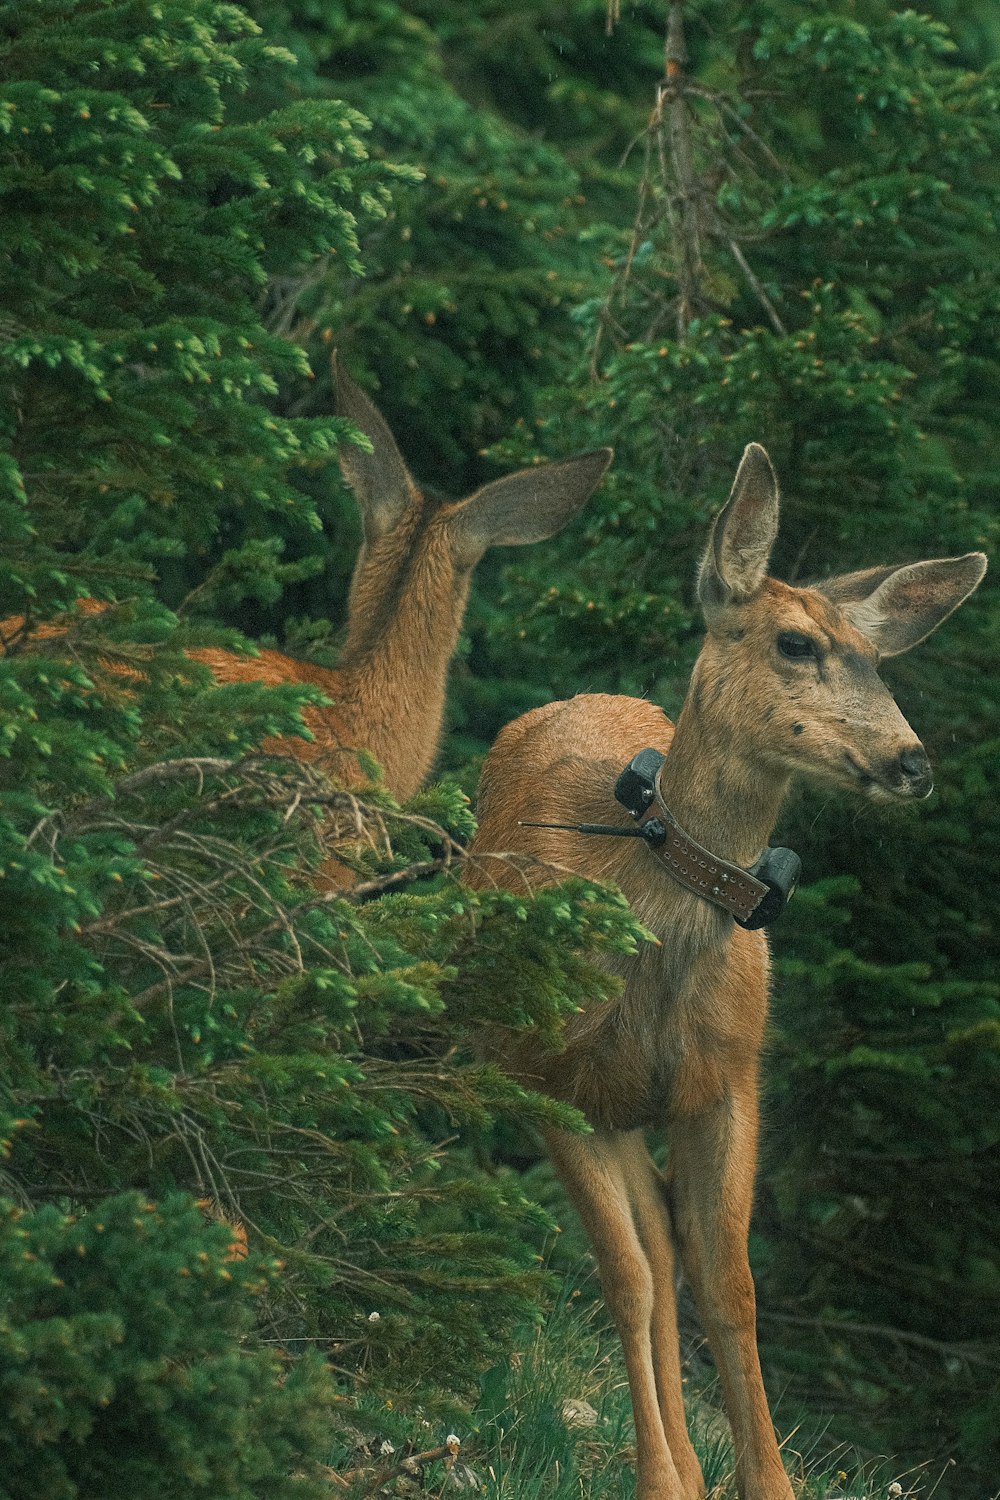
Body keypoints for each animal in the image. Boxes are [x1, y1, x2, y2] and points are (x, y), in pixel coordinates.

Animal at [467, 444, 983, 1500]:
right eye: (795, 643)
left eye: (876, 659)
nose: (913, 762)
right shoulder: (547, 1078)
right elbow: (623, 1277)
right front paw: (660, 1482)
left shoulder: (730, 1079)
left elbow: (733, 1285)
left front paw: (766, 1483)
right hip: (591, 1096)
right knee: (645, 1256)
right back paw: (676, 1465)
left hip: (644, 1103)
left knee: (670, 1244)